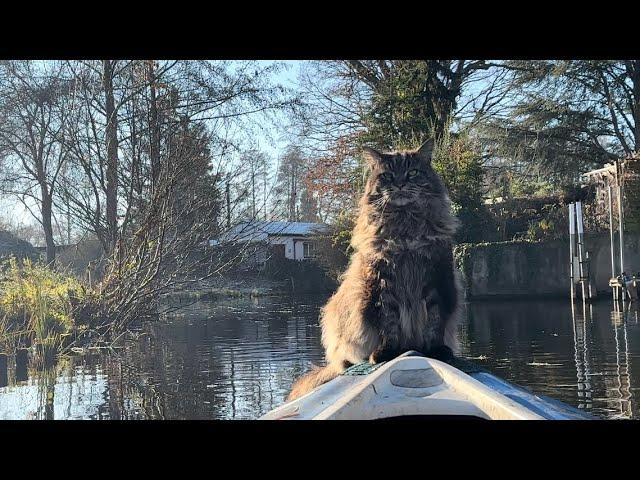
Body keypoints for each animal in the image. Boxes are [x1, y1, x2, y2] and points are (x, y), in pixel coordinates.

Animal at [288, 140, 462, 402]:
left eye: (413, 172)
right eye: (387, 176)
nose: (400, 183)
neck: (405, 231)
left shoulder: (437, 280)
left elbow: (435, 320)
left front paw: (436, 350)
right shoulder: (381, 283)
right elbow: (388, 322)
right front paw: (388, 352)